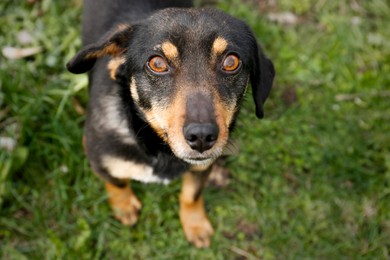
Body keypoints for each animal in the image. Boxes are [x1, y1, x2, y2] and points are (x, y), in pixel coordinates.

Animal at [67, 0, 274, 248]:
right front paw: (124, 207)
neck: (158, 150)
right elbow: (117, 184)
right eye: (157, 63)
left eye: (231, 61)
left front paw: (196, 225)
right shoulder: (98, 156)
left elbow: (191, 195)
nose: (202, 137)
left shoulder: (202, 167)